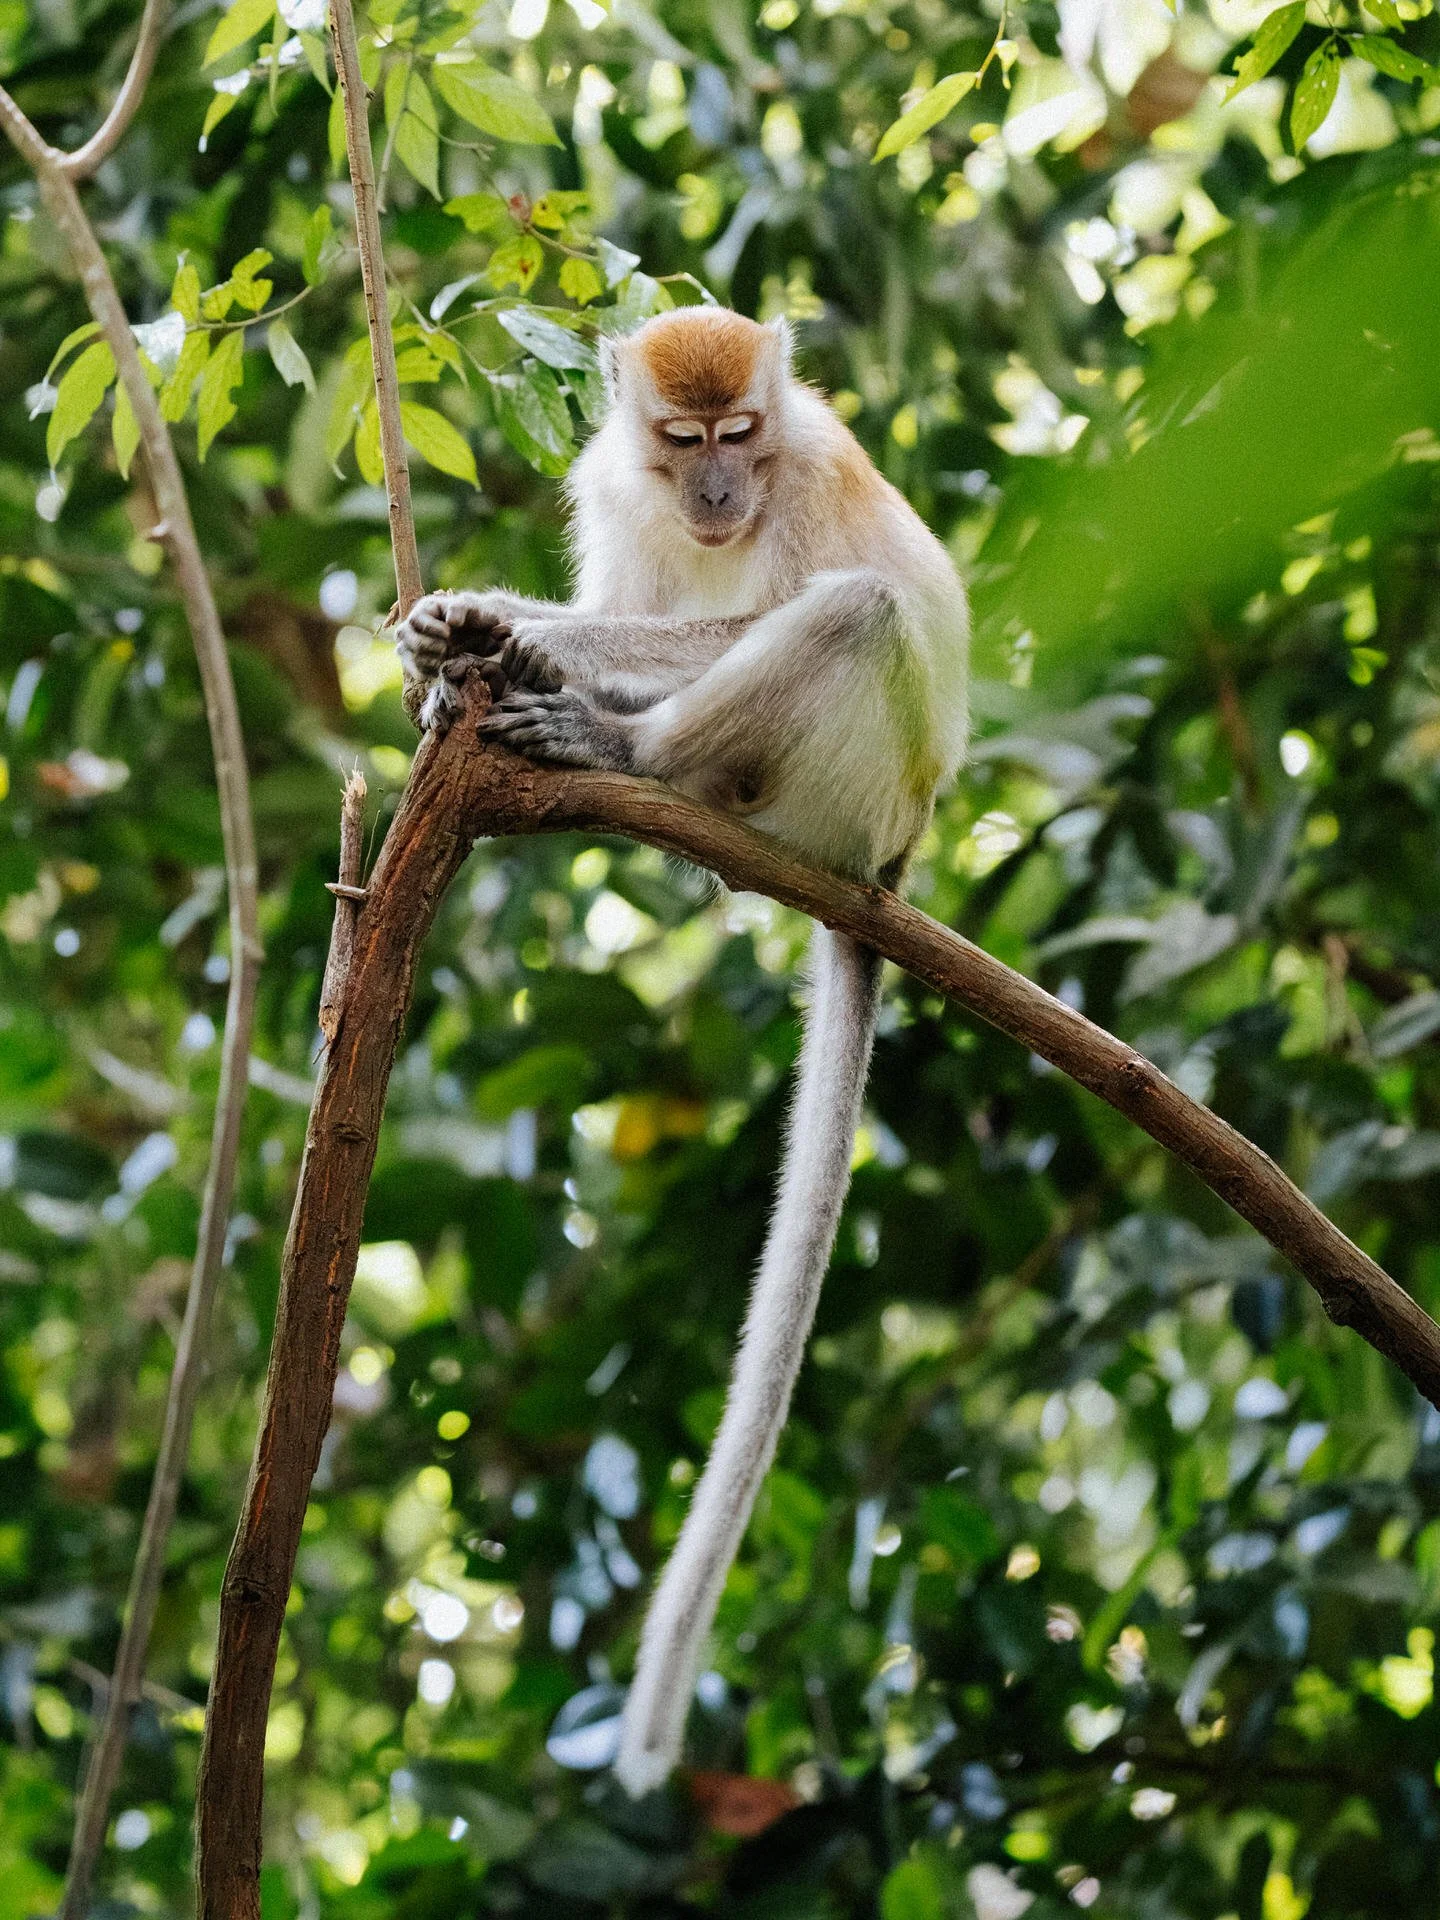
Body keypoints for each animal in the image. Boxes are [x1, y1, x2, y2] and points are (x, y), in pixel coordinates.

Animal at [394, 307, 969, 1796]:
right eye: (681, 441)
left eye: (743, 440)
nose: (716, 494)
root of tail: (887, 863)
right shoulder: (611, 486)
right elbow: (639, 595)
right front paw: (452, 629)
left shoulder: (808, 476)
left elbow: (745, 615)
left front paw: (518, 641)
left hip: (846, 786)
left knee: (851, 613)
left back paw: (619, 743)